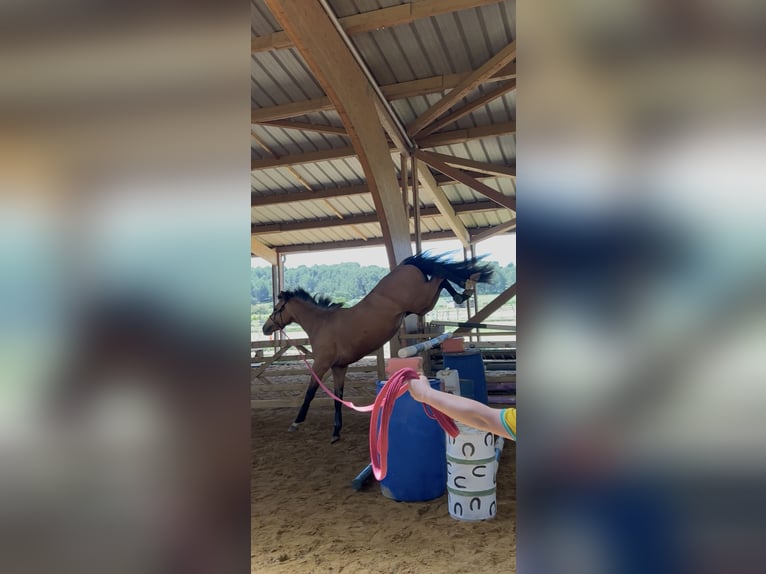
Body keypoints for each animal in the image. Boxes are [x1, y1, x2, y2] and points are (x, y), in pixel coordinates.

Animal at [261, 252, 494, 443]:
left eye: (276, 308)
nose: (265, 328)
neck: (322, 323)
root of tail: (404, 266)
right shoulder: (339, 367)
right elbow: (338, 397)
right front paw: (336, 432)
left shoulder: (321, 364)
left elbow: (310, 392)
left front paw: (296, 422)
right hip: (422, 304)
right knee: (440, 277)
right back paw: (465, 289)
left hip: (421, 301)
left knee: (441, 277)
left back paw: (465, 287)